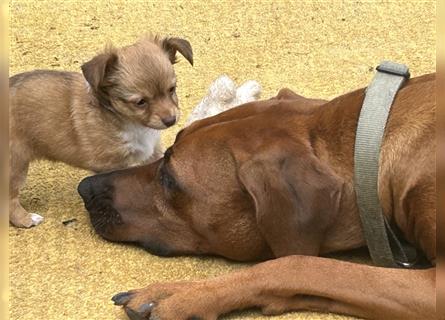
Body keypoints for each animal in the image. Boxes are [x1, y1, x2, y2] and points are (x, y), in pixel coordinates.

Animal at [9, 35, 193, 228]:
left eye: (172, 89)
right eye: (140, 102)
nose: (170, 120)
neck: (132, 124)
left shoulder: (151, 152)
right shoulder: (109, 166)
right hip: (16, 164)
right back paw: (26, 219)